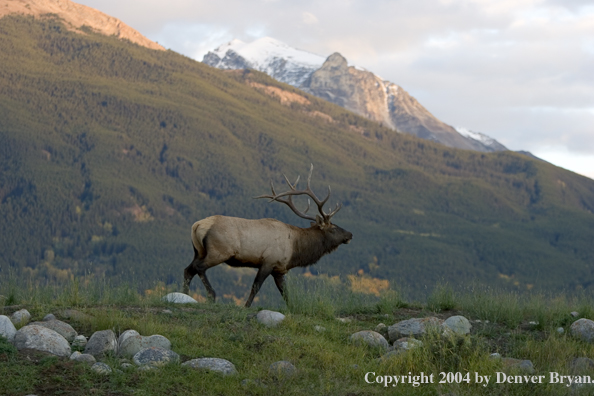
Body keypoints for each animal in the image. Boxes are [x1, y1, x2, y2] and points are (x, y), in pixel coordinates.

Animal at [184, 164, 352, 306]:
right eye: (333, 228)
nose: (350, 234)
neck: (296, 249)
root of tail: (196, 225)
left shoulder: (279, 269)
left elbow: (285, 293)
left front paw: (292, 308)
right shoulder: (268, 261)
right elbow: (256, 287)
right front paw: (246, 307)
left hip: (199, 251)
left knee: (188, 270)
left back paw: (184, 295)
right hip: (219, 251)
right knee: (199, 268)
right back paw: (211, 295)